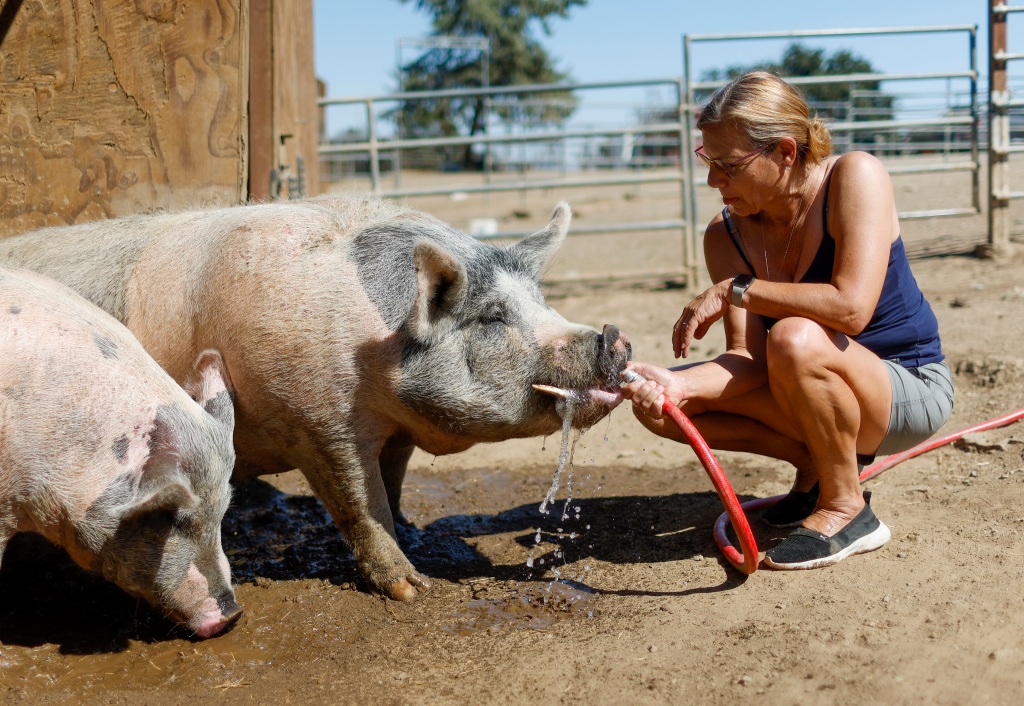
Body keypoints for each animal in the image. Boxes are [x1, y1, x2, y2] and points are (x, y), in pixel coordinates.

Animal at [0, 198, 630, 598]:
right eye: (493, 316)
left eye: (542, 301)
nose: (613, 337)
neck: (375, 356)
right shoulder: (317, 425)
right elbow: (359, 502)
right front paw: (413, 589)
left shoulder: (393, 431)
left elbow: (391, 486)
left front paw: (415, 533)